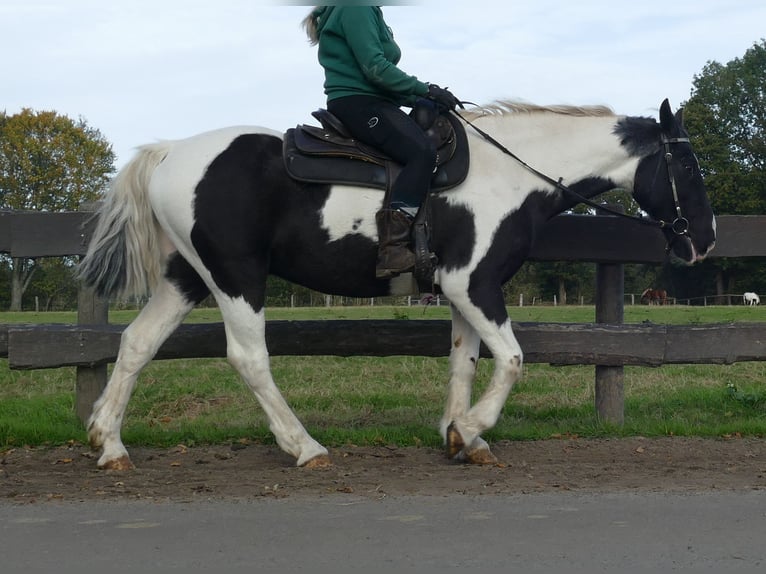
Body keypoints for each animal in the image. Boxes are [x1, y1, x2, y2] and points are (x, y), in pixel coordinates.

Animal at [77, 98, 716, 470]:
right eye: (686, 167)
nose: (703, 242)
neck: (510, 174)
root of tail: (168, 154)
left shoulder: (462, 294)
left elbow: (464, 362)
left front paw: (461, 437)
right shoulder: (474, 284)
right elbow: (511, 360)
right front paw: (470, 428)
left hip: (187, 277)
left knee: (137, 344)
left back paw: (109, 444)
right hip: (237, 276)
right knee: (248, 357)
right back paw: (305, 447)